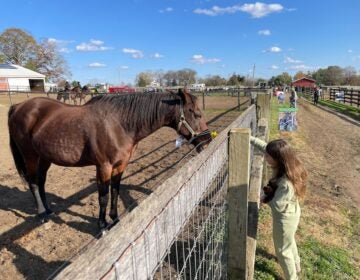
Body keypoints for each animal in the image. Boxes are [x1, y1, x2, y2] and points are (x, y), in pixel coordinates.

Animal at [7, 89, 212, 230]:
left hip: (44, 157)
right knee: (33, 183)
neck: (119, 124)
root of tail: (18, 107)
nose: (208, 140)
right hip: (30, 156)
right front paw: (102, 225)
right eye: (196, 114)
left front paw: (115, 219)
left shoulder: (120, 166)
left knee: (41, 182)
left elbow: (115, 191)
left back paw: (49, 211)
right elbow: (103, 196)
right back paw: (42, 215)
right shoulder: (103, 167)